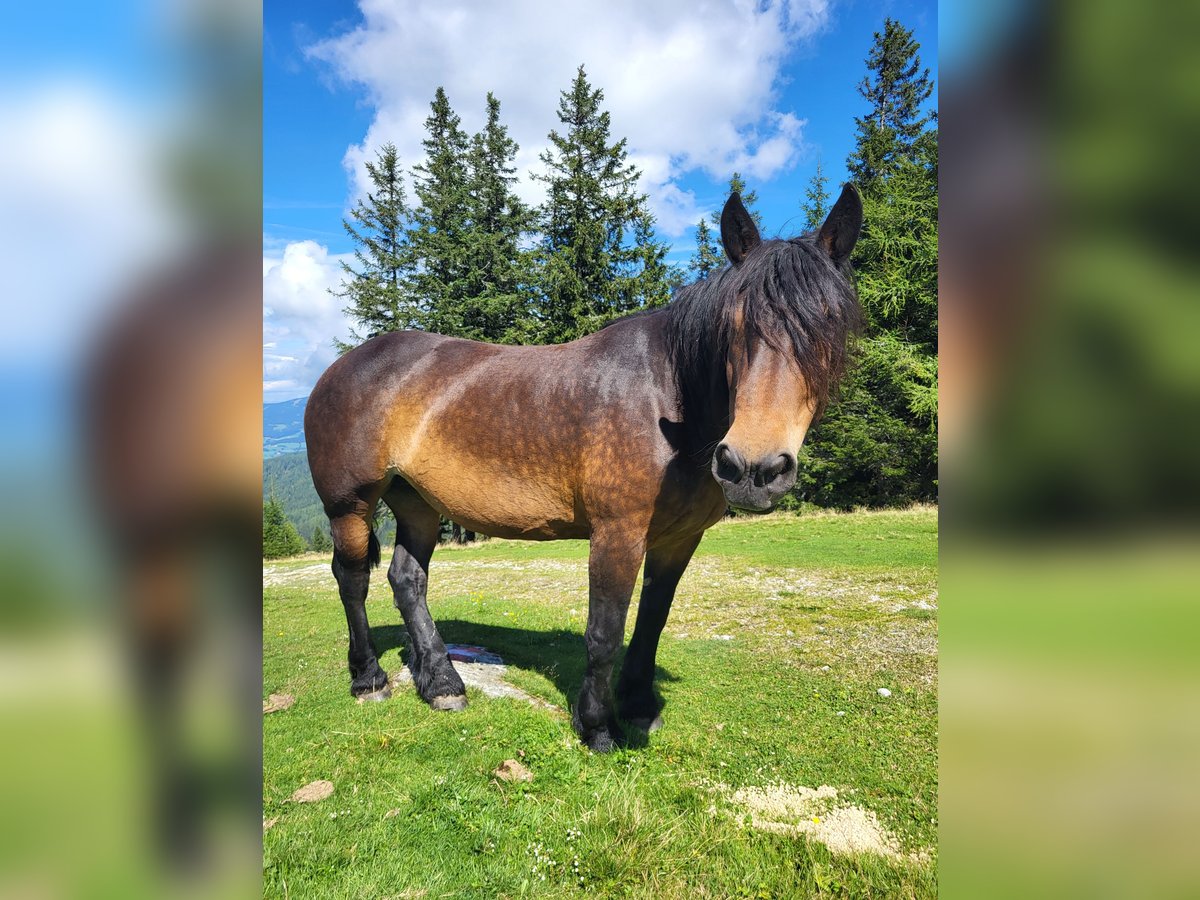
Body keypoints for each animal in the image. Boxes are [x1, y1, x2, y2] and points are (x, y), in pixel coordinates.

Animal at [304, 188, 859, 753]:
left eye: (830, 325)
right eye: (735, 324)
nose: (752, 467)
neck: (667, 400)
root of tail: (339, 368)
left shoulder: (679, 538)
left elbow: (652, 622)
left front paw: (639, 705)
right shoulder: (617, 533)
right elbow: (605, 631)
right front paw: (596, 725)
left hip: (416, 502)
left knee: (407, 579)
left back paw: (440, 681)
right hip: (349, 505)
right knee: (352, 578)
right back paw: (369, 678)